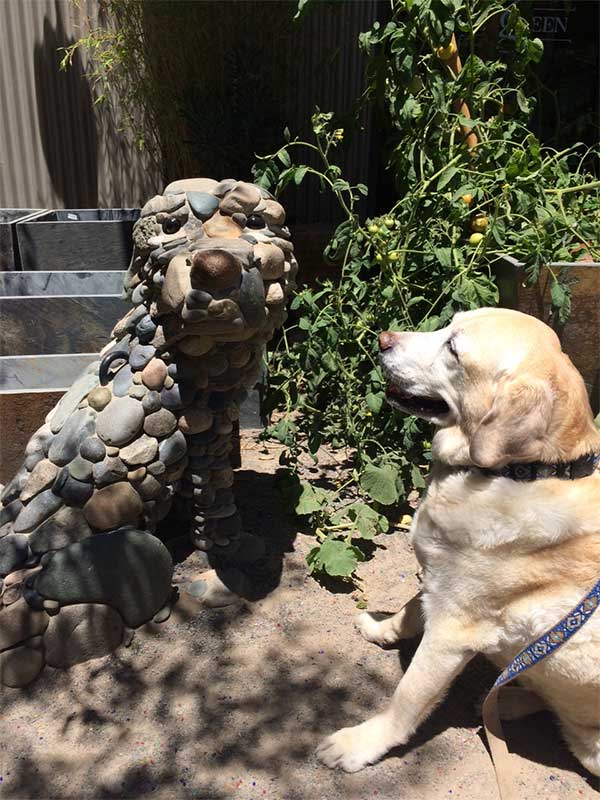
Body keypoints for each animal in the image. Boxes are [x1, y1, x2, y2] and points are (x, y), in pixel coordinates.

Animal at [316, 310, 596, 776]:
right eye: (448, 324)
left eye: (453, 349)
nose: (382, 339)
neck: (522, 472)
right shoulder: (438, 575)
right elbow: (410, 610)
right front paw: (379, 627)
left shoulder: (452, 629)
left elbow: (407, 698)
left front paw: (360, 744)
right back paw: (506, 700)